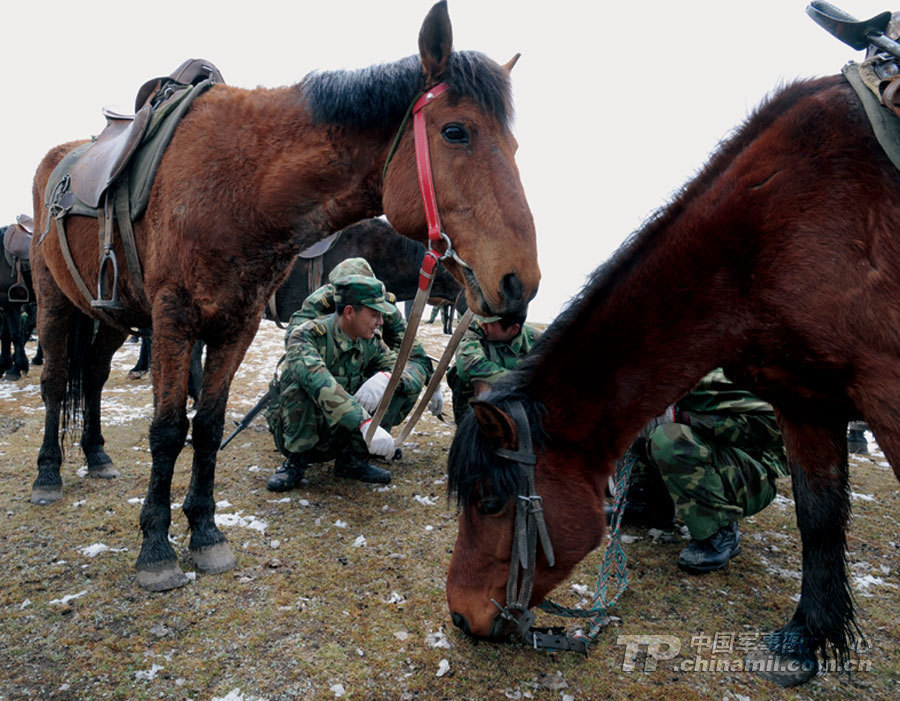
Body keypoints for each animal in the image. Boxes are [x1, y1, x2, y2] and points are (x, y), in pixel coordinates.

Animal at [29, 0, 539, 592]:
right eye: (456, 131)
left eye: (515, 145)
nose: (520, 284)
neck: (237, 188)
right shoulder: (175, 318)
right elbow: (168, 429)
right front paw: (156, 546)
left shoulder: (239, 322)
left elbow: (207, 427)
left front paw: (206, 532)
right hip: (54, 299)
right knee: (55, 381)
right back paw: (49, 473)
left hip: (111, 315)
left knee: (90, 377)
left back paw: (96, 454)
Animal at [445, 72, 900, 688]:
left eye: (491, 502)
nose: (459, 615)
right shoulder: (805, 399)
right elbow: (819, 518)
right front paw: (807, 635)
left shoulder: (883, 391)